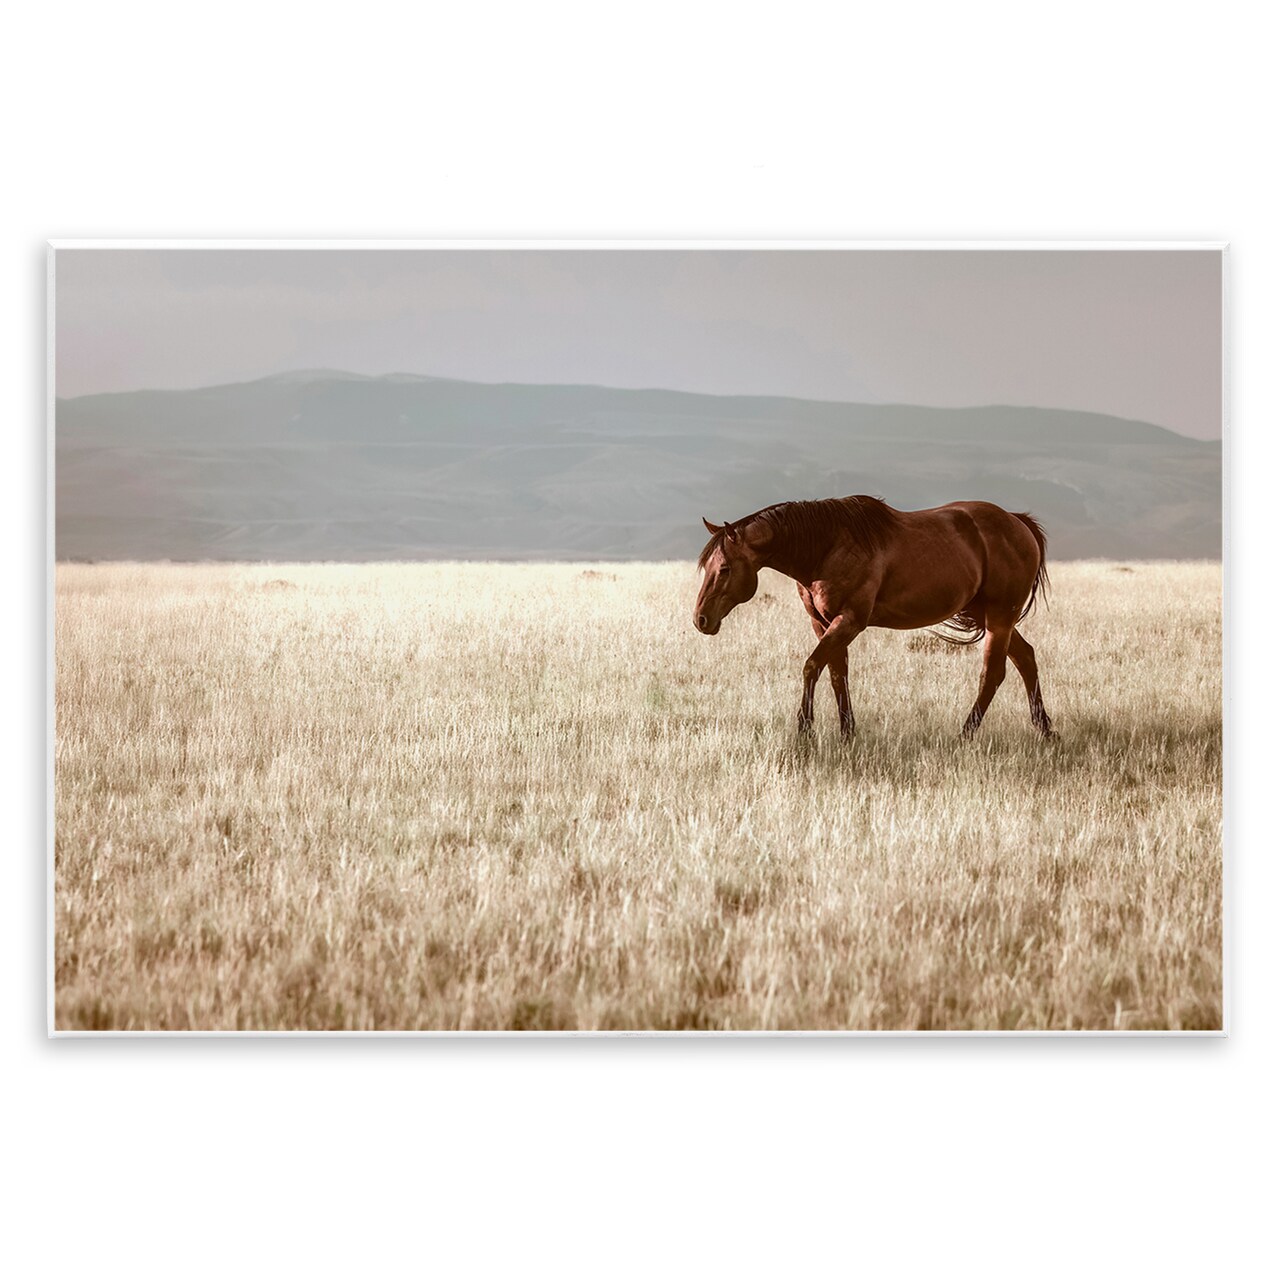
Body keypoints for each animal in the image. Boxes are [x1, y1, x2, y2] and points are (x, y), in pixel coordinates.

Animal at [694, 496, 1054, 740]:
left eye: (724, 569)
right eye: (707, 566)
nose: (701, 619)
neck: (826, 548)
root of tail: (1018, 522)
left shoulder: (849, 621)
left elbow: (812, 667)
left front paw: (805, 731)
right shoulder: (824, 623)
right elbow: (837, 674)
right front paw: (847, 732)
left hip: (1000, 617)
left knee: (992, 673)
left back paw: (966, 734)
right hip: (991, 617)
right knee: (1025, 658)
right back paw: (1045, 729)